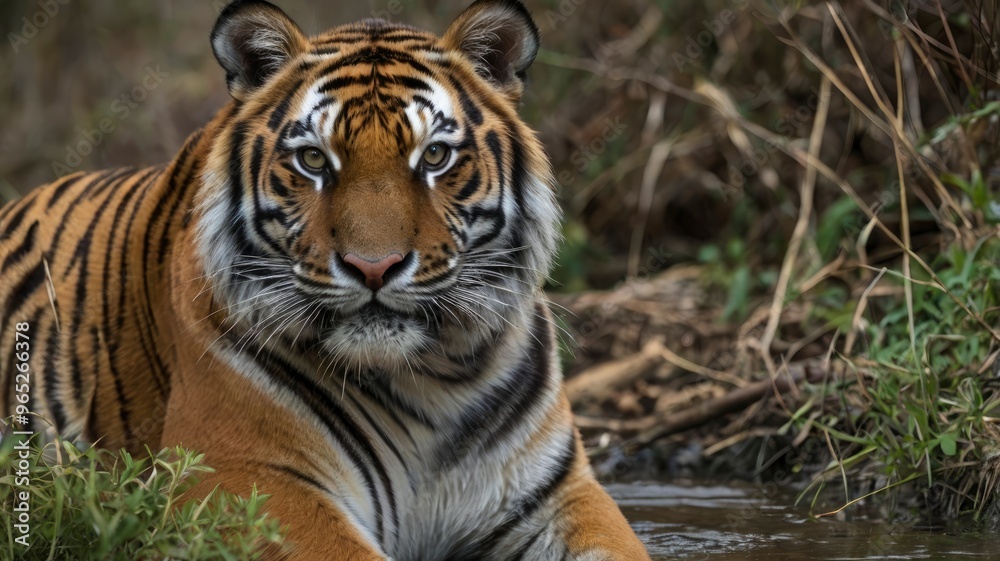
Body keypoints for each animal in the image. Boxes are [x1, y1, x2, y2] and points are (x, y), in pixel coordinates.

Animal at [0, 0, 651, 559]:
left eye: (434, 156)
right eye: (313, 159)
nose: (374, 266)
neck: (431, 380)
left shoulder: (557, 493)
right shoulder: (244, 476)